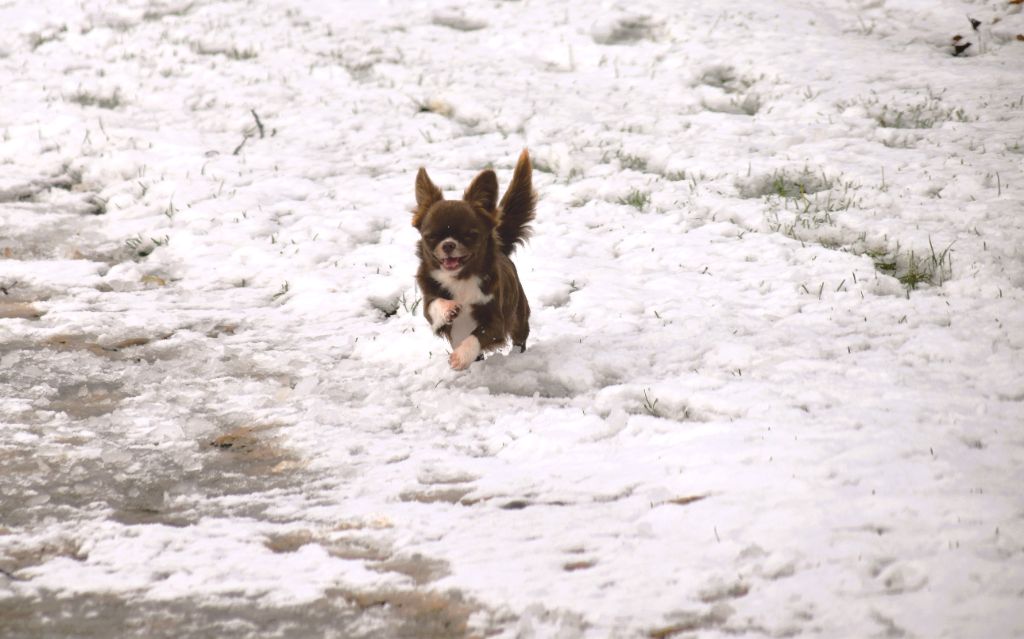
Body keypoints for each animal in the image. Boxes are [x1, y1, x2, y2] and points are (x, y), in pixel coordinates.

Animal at [409, 149, 536, 368]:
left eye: (469, 235)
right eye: (432, 236)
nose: (448, 244)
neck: (461, 277)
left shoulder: (496, 322)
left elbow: (477, 336)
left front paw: (461, 356)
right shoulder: (429, 306)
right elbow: (435, 305)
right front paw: (448, 308)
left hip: (519, 315)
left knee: (520, 338)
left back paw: (516, 356)